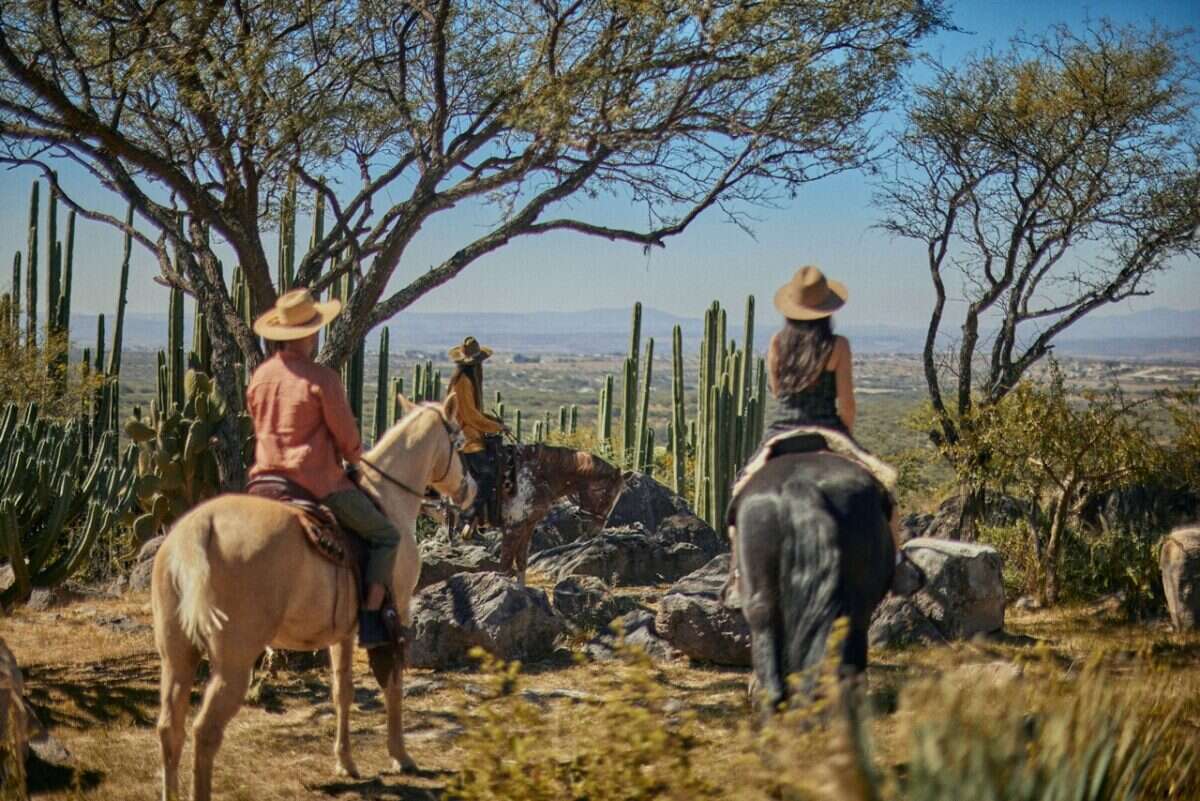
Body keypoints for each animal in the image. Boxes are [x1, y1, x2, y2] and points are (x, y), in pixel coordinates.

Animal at [153, 395, 477, 801]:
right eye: (459, 442)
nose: (471, 489)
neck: (387, 499)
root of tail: (199, 529)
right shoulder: (396, 614)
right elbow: (393, 683)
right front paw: (400, 756)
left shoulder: (344, 632)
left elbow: (343, 691)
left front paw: (346, 761)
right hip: (233, 664)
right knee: (204, 732)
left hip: (176, 656)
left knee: (170, 730)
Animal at [463, 441, 624, 585]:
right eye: (607, 496)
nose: (595, 531)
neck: (536, 475)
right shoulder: (512, 528)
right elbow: (505, 567)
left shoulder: (527, 527)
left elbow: (521, 562)